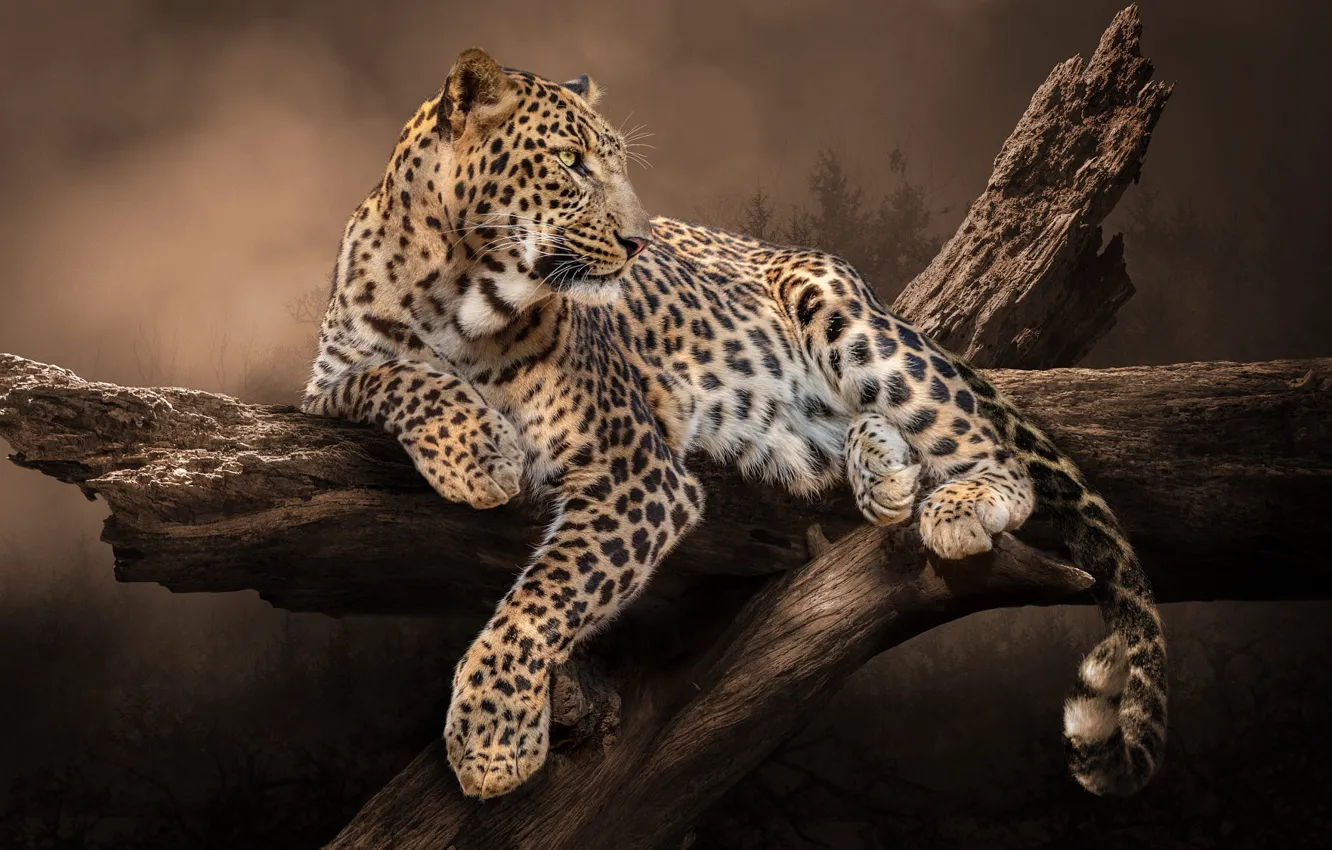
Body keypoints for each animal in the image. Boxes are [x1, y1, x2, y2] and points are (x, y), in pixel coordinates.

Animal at [301, 48, 1167, 801]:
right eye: (572, 164)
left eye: (616, 162)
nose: (638, 241)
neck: (457, 290)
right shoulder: (325, 385)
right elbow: (388, 376)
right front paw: (476, 451)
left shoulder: (637, 470)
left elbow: (543, 597)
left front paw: (490, 738)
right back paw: (885, 473)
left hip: (845, 314)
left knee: (974, 437)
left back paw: (959, 499)